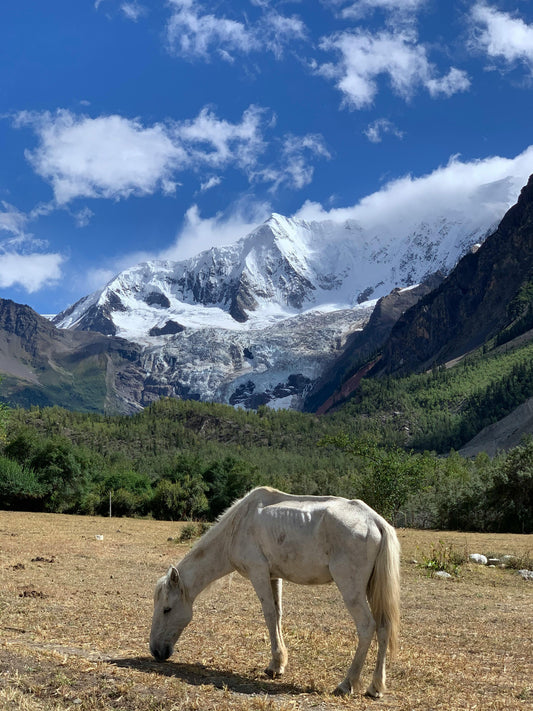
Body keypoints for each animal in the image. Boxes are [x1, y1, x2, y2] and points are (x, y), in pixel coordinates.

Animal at [149, 486, 400, 698]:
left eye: (167, 609)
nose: (155, 651)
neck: (238, 525)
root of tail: (375, 521)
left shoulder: (258, 573)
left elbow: (269, 615)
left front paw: (274, 665)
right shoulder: (273, 576)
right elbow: (278, 615)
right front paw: (279, 664)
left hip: (351, 589)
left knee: (367, 626)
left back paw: (347, 683)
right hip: (371, 590)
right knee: (383, 627)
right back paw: (375, 687)